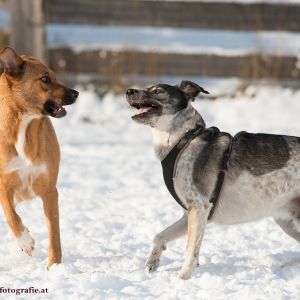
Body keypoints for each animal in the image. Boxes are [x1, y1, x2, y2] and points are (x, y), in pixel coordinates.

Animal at [0, 47, 78, 270]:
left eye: (55, 76)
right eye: (44, 79)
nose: (76, 93)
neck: (23, 125)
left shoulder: (49, 190)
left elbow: (54, 234)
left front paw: (55, 267)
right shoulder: (4, 184)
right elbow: (11, 215)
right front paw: (25, 241)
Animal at [125, 81, 300, 280]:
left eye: (157, 91)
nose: (129, 91)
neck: (182, 140)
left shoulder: (199, 207)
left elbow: (191, 252)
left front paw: (182, 279)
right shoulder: (191, 213)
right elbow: (160, 236)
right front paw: (151, 264)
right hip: (287, 222)